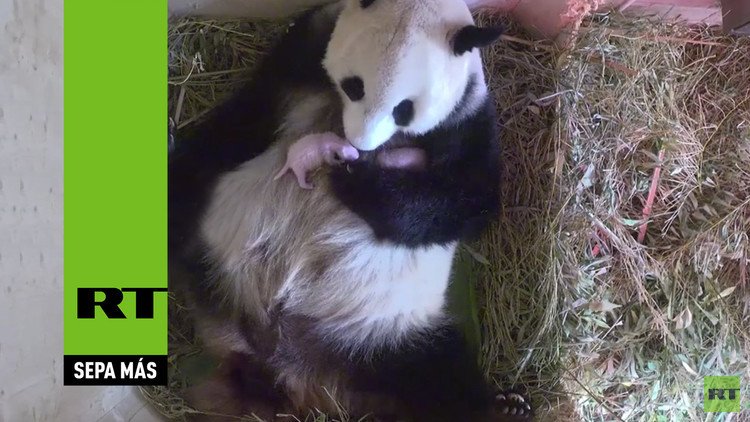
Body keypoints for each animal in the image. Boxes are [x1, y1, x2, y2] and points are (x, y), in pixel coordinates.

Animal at [169, 0, 532, 421]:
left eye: (404, 109)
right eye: (355, 86)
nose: (359, 144)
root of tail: (282, 367)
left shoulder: (467, 119)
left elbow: (465, 200)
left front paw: (354, 178)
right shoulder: (301, 56)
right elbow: (246, 116)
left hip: (381, 332)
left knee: (437, 377)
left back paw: (503, 405)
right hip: (214, 246)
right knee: (183, 203)